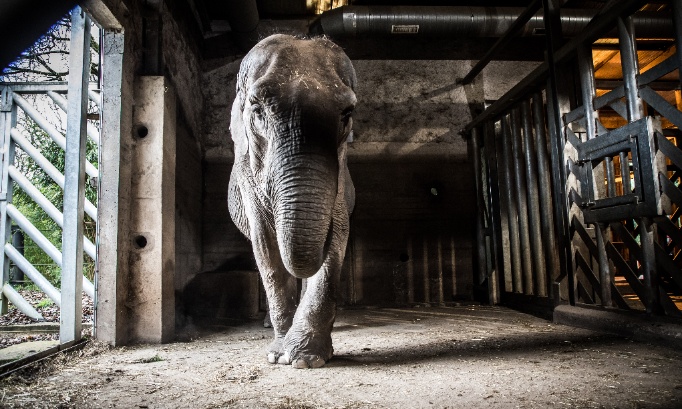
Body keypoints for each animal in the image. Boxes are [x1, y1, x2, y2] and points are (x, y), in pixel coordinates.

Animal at [227, 34, 356, 369]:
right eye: (257, 110)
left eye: (347, 114)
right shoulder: (246, 171)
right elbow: (265, 245)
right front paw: (278, 353)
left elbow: (338, 232)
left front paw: (306, 359)